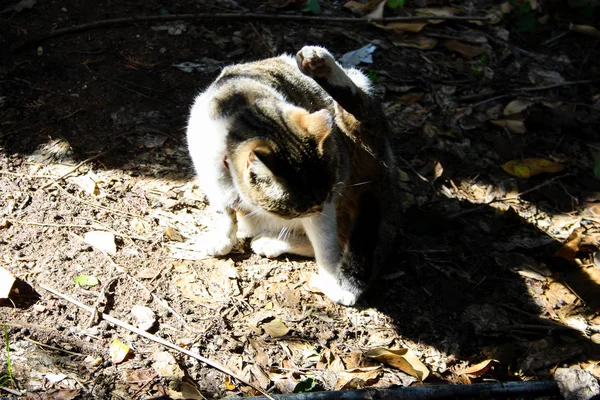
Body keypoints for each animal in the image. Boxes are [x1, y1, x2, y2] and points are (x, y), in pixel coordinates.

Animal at [185, 45, 396, 304]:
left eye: (324, 196)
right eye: (296, 209)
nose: (318, 209)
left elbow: (326, 245)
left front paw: (334, 280)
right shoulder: (208, 172)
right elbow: (222, 210)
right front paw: (222, 237)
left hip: (362, 117)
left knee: (359, 108)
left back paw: (319, 64)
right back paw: (270, 242)